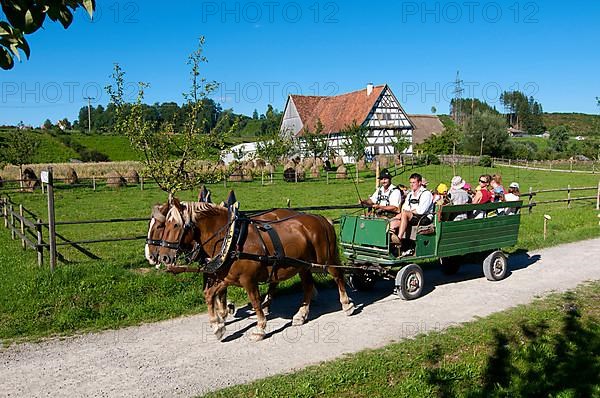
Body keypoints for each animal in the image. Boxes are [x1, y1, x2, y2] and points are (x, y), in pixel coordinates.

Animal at [161, 202, 356, 342]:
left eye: (176, 225)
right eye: (165, 225)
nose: (164, 257)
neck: (231, 239)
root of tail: (321, 218)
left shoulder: (248, 280)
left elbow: (255, 302)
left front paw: (260, 328)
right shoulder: (227, 278)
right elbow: (209, 294)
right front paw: (218, 326)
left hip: (325, 260)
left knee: (338, 277)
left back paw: (347, 304)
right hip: (304, 266)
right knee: (308, 287)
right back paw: (301, 315)